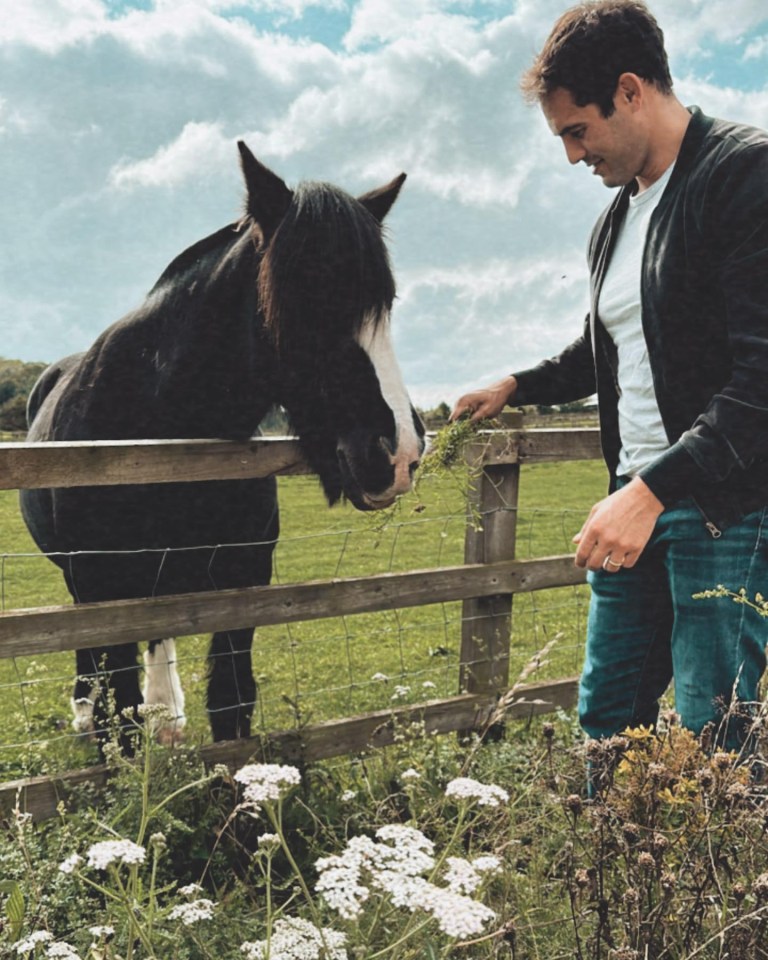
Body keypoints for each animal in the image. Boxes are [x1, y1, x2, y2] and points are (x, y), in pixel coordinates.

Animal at [21, 142, 426, 752]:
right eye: (305, 290)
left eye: (387, 301)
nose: (398, 450)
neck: (160, 433)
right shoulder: (103, 590)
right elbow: (123, 711)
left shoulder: (243, 585)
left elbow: (231, 705)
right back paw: (89, 712)